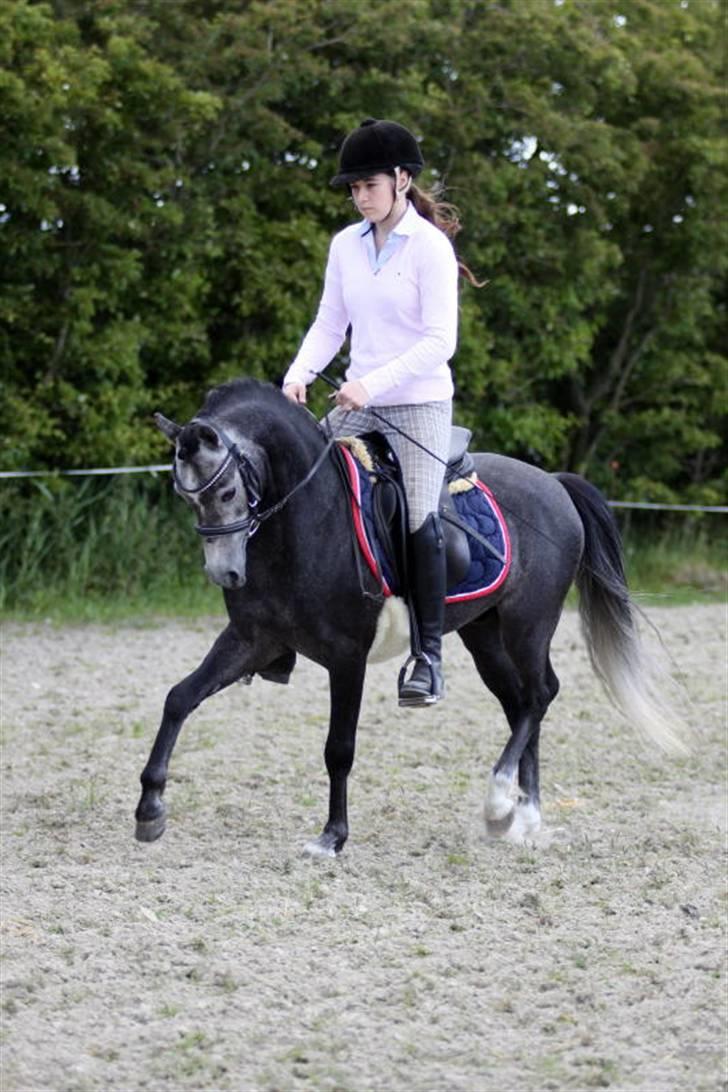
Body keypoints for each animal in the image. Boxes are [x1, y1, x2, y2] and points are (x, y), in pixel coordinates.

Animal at [135, 377, 685, 854]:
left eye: (226, 492)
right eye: (185, 496)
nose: (226, 574)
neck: (306, 518)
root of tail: (552, 483)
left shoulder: (347, 655)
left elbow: (339, 747)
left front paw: (332, 837)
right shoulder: (253, 639)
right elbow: (178, 698)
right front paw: (149, 809)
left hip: (529, 624)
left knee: (540, 695)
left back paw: (500, 803)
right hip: (485, 635)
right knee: (520, 704)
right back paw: (520, 818)